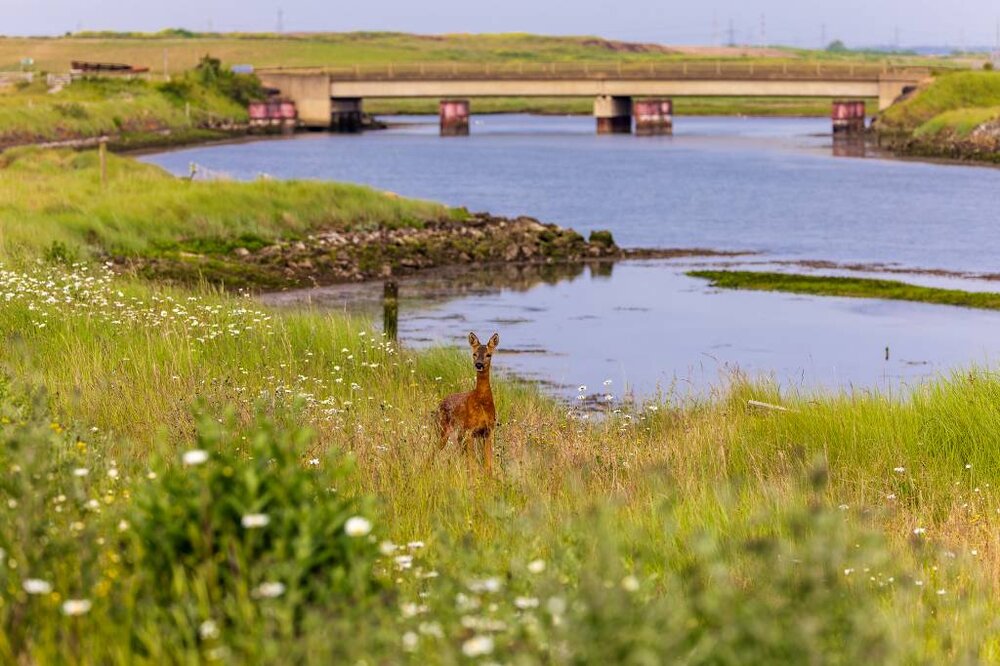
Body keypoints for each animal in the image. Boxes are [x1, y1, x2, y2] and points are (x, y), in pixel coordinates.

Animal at [437, 331, 499, 472]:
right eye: (474, 354)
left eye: (489, 354)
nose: (479, 364)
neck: (482, 403)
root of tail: (441, 402)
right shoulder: (470, 430)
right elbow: (473, 463)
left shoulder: (488, 430)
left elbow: (488, 464)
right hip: (443, 428)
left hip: (459, 434)